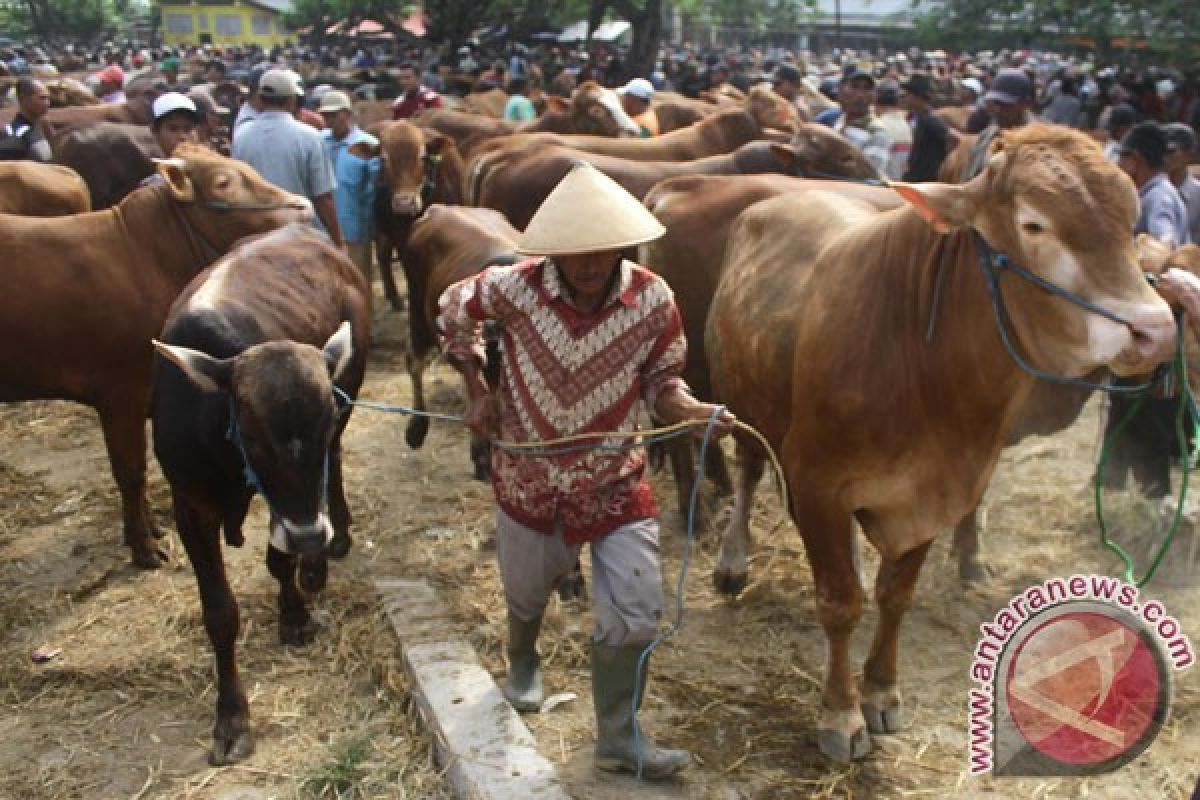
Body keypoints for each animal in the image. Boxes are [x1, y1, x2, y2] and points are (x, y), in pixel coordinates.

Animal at [0, 143, 314, 568]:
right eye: (223, 182)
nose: (303, 205)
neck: (143, 256)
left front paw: (150, 530)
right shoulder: (122, 394)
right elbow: (131, 472)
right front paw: (143, 546)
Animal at [372, 120, 465, 311]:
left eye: (422, 156)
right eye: (383, 159)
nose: (404, 204)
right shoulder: (401, 238)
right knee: (383, 255)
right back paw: (394, 297)